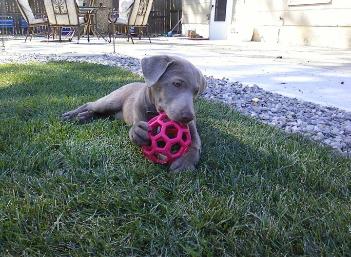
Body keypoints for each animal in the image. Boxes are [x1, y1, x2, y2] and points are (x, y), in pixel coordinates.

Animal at [62, 55, 208, 171]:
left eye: (196, 92)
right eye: (177, 84)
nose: (188, 117)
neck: (155, 111)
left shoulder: (192, 130)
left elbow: (195, 144)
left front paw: (185, 163)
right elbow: (137, 131)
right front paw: (139, 133)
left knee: (100, 114)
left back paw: (83, 117)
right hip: (111, 101)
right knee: (90, 104)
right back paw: (72, 115)